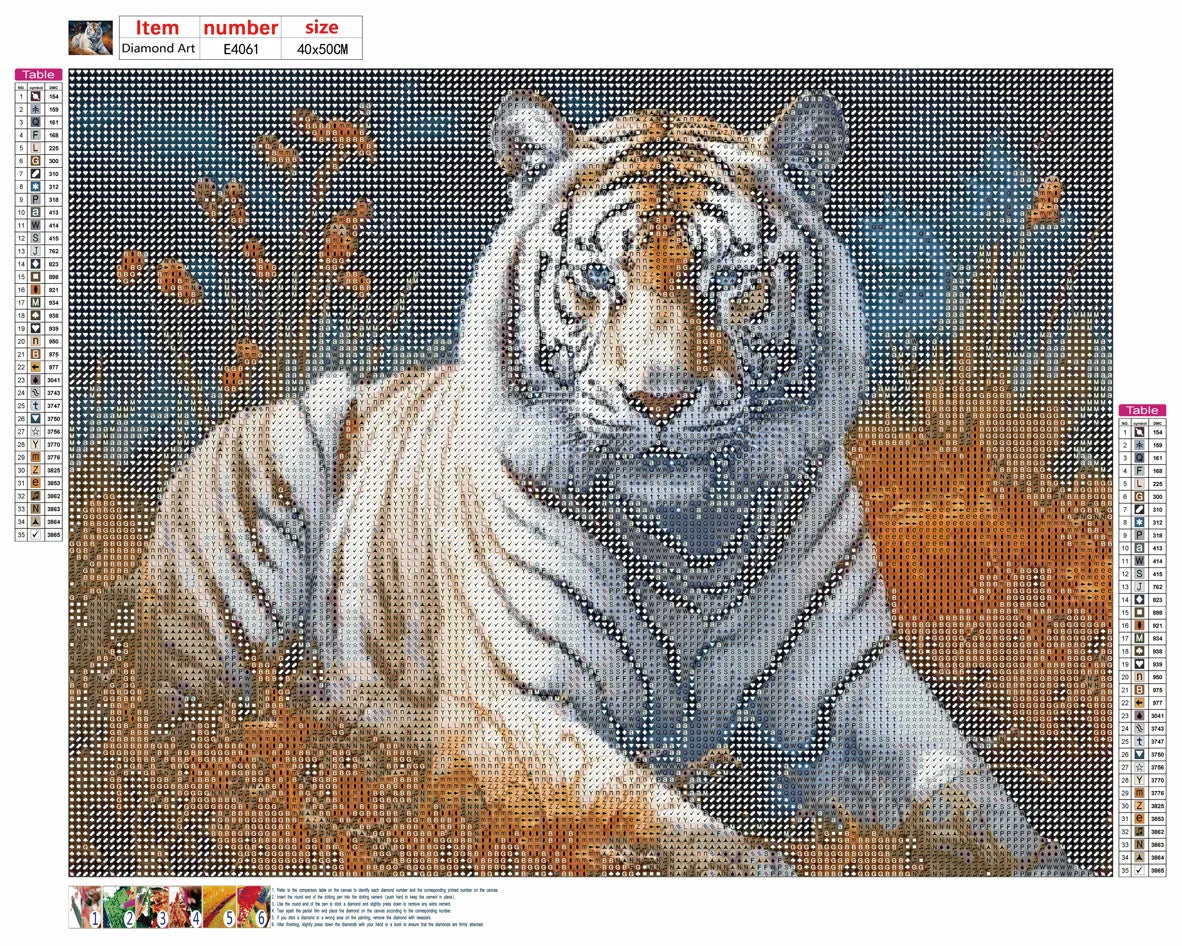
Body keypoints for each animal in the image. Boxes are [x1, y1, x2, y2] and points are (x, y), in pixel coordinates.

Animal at [142, 90, 1076, 875]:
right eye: (598, 276)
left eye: (728, 279)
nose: (659, 398)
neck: (693, 540)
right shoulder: (513, 710)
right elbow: (661, 820)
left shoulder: (861, 685)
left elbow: (979, 805)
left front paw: (1040, 863)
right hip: (273, 490)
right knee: (197, 706)